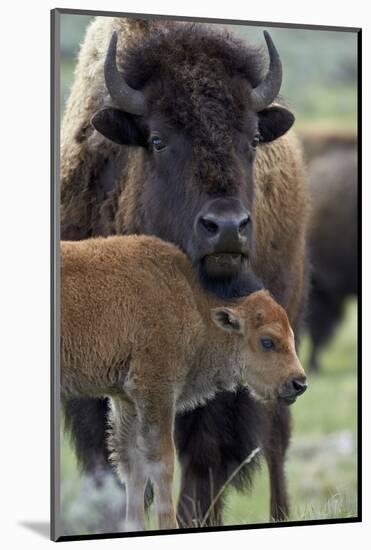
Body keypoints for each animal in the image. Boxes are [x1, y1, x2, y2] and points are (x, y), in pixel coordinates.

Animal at [61, 236, 308, 532]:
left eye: (291, 336)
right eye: (267, 341)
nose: (298, 382)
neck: (192, 300)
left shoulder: (126, 399)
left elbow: (133, 466)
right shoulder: (156, 389)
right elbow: (163, 461)